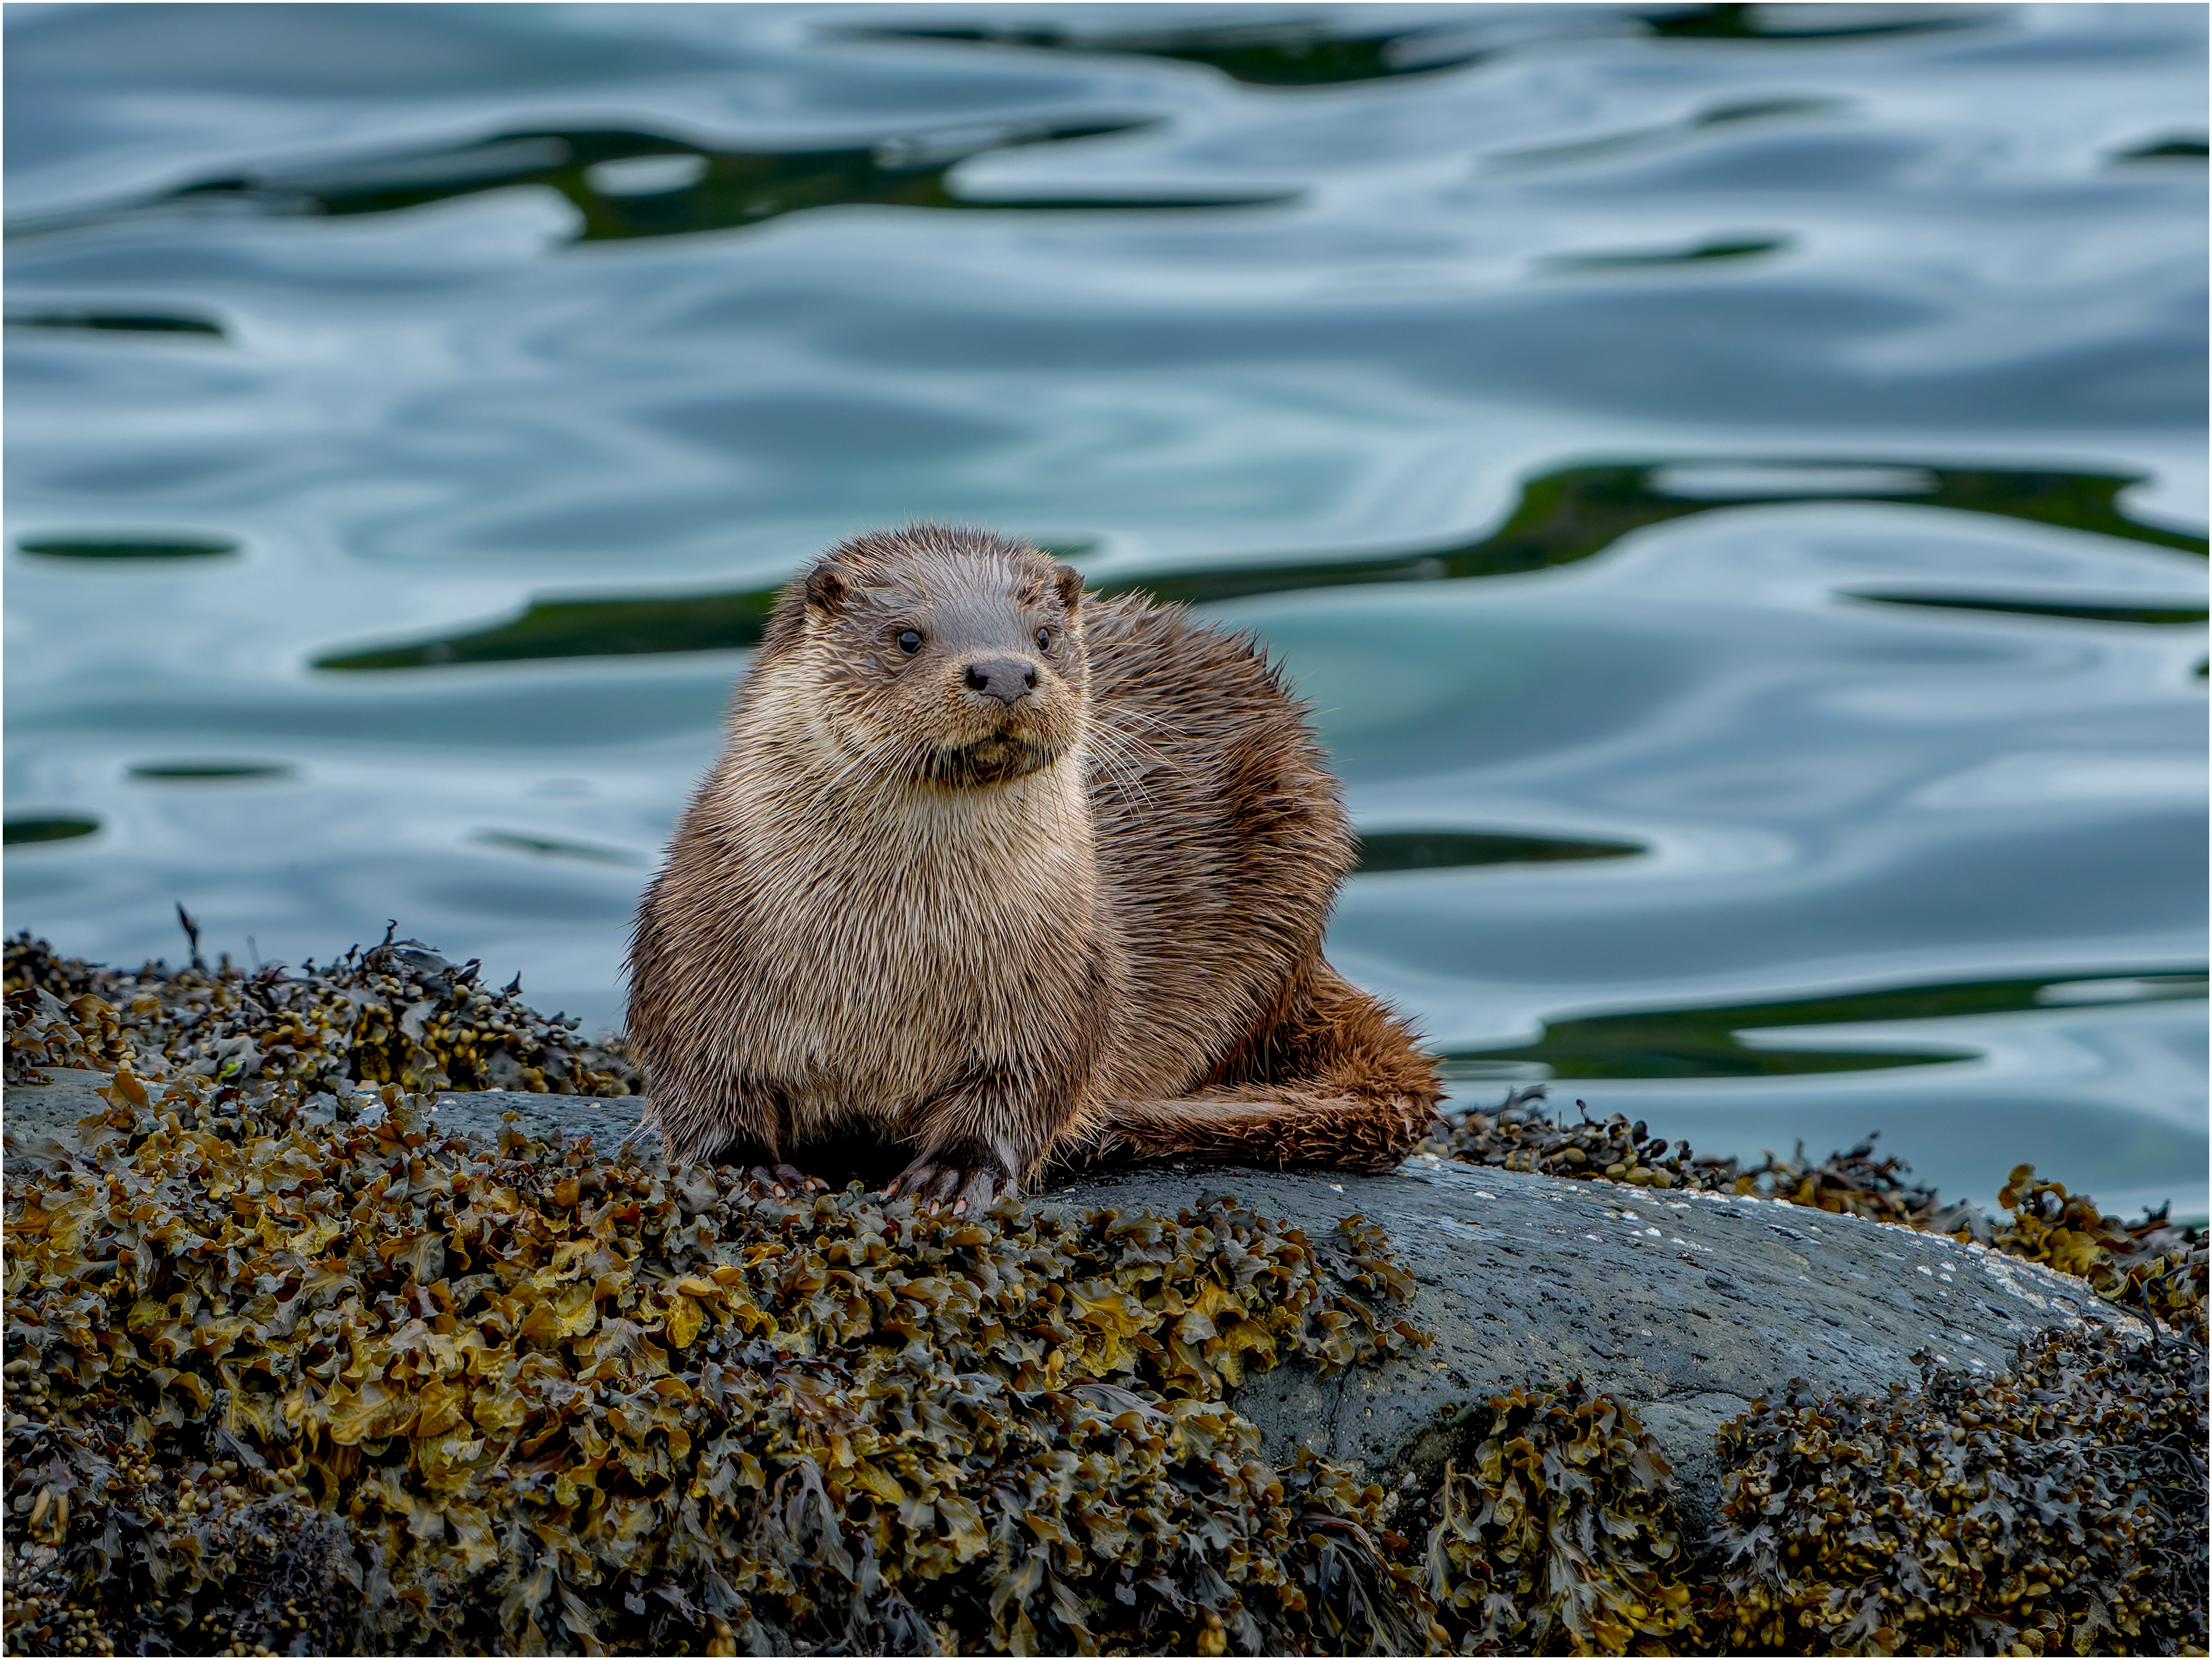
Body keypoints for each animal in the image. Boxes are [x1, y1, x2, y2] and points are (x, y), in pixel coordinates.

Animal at [627, 523, 1442, 1211]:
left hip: (1287, 881)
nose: (1005, 671)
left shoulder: (1062, 976)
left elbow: (1021, 1091)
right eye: (907, 636)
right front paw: (747, 1165)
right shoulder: (692, 949)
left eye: (1045, 638)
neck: (889, 961)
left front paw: (956, 1172)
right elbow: (700, 1086)